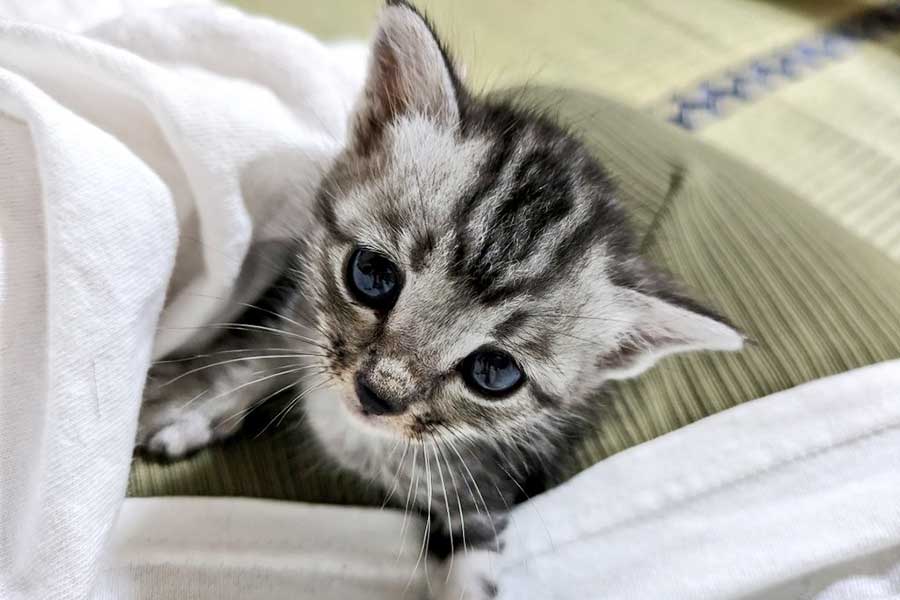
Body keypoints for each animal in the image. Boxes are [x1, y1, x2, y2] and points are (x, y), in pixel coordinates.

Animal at [137, 2, 740, 596]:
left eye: (495, 372)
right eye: (372, 274)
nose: (377, 395)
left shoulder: (488, 492)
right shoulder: (305, 303)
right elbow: (274, 346)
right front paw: (188, 400)